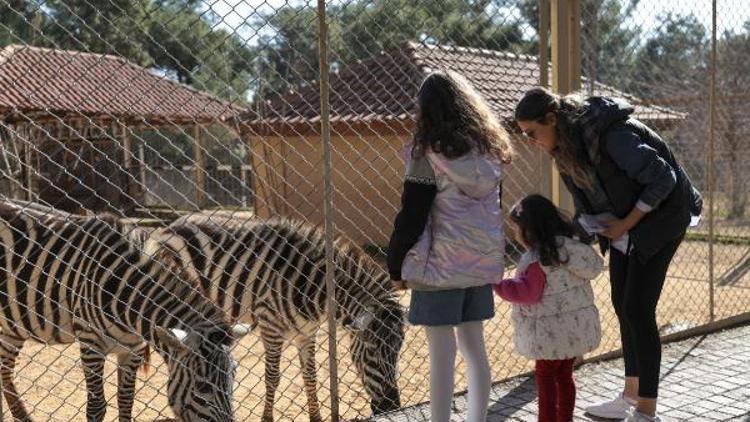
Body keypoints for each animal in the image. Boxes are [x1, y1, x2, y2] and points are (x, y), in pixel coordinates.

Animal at [0, 201, 253, 422]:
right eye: (203, 386)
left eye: (234, 376)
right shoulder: (91, 345)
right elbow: (97, 406)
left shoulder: (133, 350)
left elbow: (125, 400)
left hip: (12, 327)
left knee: (4, 369)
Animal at [145, 218, 406, 422]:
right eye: (372, 351)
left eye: (398, 351)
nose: (392, 407)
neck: (315, 288)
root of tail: (169, 226)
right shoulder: (269, 325)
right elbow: (272, 377)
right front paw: (267, 418)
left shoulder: (306, 332)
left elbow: (310, 377)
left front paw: (316, 417)